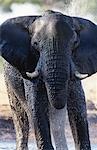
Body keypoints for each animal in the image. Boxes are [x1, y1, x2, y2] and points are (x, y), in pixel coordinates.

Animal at [0, 9, 97, 149]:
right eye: (35, 44)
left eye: (75, 43)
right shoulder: (31, 66)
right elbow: (37, 106)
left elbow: (78, 106)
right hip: (9, 80)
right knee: (21, 118)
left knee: (57, 124)